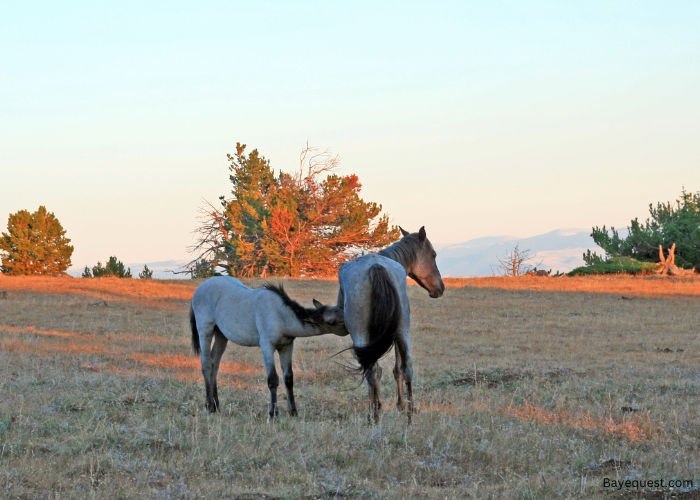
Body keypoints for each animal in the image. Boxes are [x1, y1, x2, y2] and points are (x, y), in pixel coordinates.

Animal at [190, 278, 346, 418]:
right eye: (333, 321)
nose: (350, 327)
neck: (280, 315)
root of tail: (199, 288)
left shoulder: (287, 347)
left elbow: (288, 378)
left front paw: (293, 412)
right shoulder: (267, 345)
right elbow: (273, 379)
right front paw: (273, 414)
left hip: (221, 334)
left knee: (214, 364)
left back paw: (216, 405)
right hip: (206, 330)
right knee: (206, 365)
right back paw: (209, 406)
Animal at [338, 227, 442, 422]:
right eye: (433, 255)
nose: (440, 289)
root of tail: (376, 266)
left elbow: (382, 370)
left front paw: (382, 404)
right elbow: (394, 369)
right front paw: (397, 404)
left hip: (363, 333)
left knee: (373, 370)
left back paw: (374, 416)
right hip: (401, 331)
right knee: (406, 367)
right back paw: (409, 415)